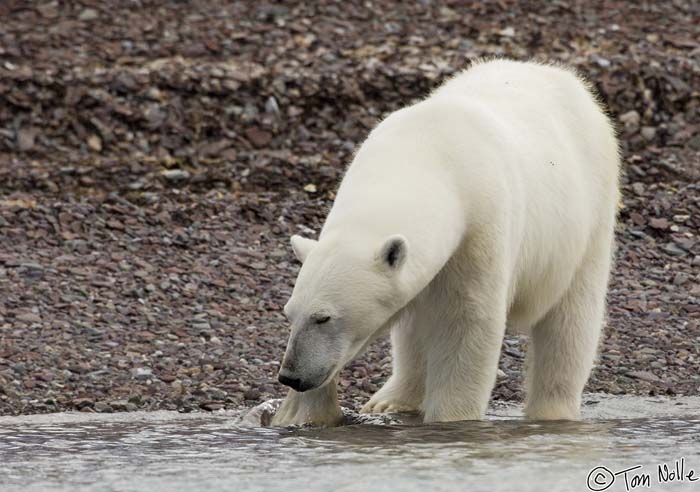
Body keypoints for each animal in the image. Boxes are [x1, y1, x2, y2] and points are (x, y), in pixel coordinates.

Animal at [272, 59, 616, 424]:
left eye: (323, 317)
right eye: (289, 313)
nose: (290, 376)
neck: (425, 155)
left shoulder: (481, 226)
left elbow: (467, 321)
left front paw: (450, 420)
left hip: (587, 216)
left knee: (570, 323)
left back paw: (552, 411)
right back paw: (391, 400)